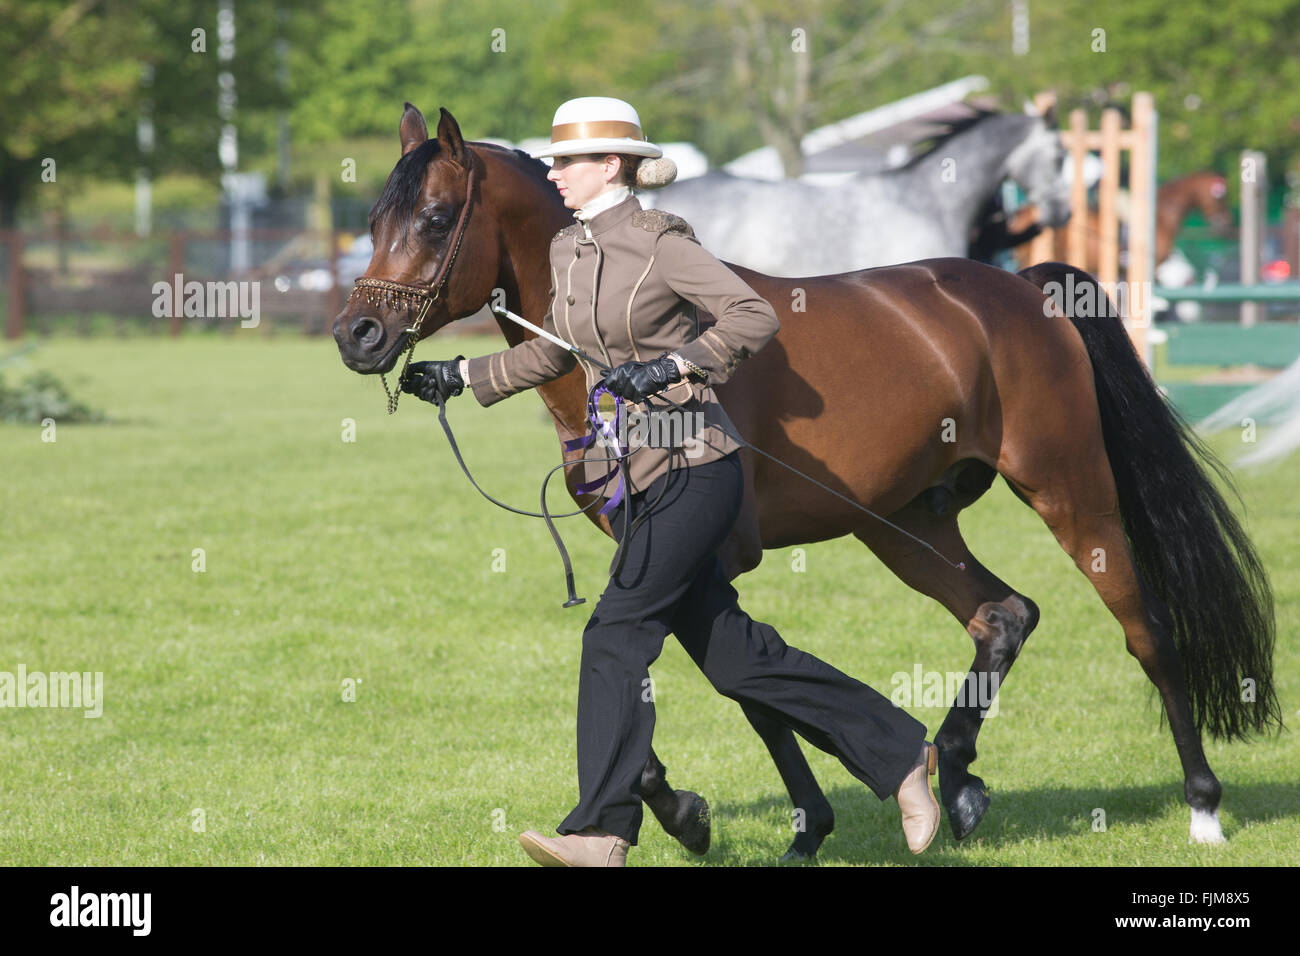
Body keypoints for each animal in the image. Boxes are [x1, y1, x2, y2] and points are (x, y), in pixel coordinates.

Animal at [335, 104, 1279, 858]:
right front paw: (736, 817)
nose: (357, 336)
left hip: (1071, 493)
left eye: (434, 217)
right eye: (375, 217)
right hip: (906, 522)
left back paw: (1201, 808)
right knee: (1003, 615)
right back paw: (957, 780)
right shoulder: (663, 561)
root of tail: (1021, 288)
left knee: (1146, 632)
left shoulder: (704, 555)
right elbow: (734, 677)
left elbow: (747, 680)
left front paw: (737, 818)